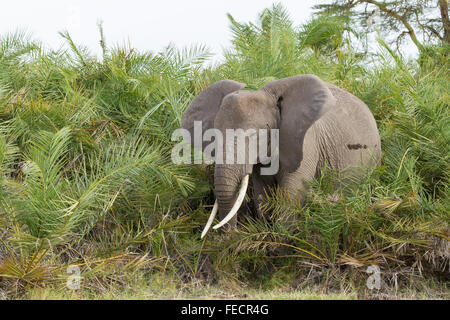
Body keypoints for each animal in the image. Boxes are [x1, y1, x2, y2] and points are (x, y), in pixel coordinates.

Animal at [181, 73, 382, 238]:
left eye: (254, 135)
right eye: (213, 136)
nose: (230, 236)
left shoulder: (306, 142)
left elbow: (291, 192)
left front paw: (283, 240)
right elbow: (263, 193)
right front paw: (267, 234)